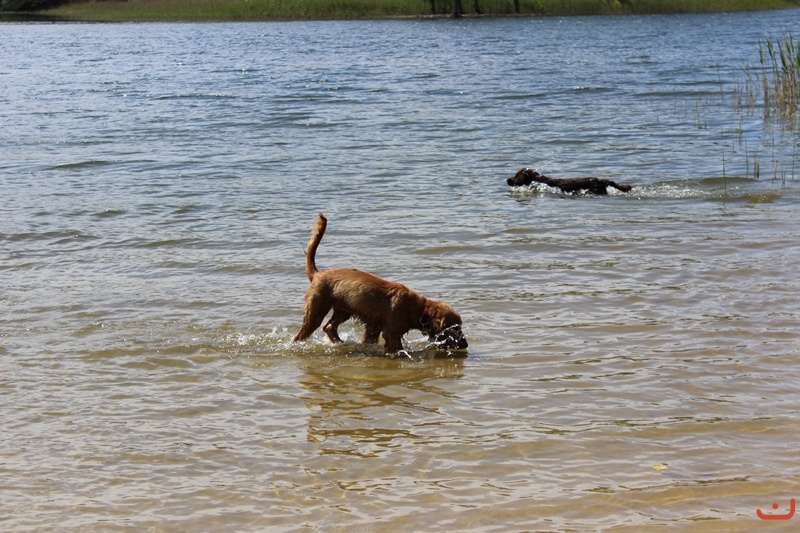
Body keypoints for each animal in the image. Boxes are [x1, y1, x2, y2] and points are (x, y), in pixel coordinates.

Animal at [292, 213, 468, 354]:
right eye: (455, 328)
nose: (465, 344)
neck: (417, 308)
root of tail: (317, 274)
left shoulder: (373, 327)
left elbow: (368, 340)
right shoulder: (390, 332)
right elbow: (396, 347)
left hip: (343, 310)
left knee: (329, 327)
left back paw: (340, 343)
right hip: (316, 311)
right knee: (301, 335)